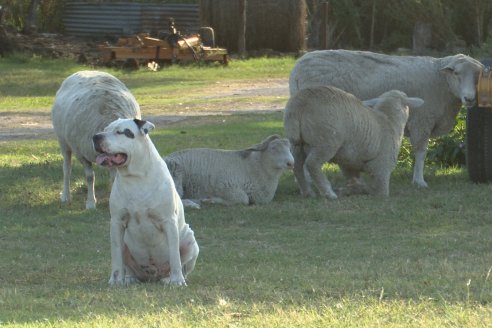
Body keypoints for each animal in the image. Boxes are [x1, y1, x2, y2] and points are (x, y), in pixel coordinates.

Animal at [51, 70, 140, 209]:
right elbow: (89, 177)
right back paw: (65, 196)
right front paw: (90, 203)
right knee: (67, 169)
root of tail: (84, 70)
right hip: (63, 142)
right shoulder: (81, 153)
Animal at [92, 118, 198, 284]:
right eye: (105, 129)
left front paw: (177, 281)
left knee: (182, 265)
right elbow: (116, 255)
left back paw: (170, 278)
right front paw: (115, 280)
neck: (136, 177)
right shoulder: (116, 222)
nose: (96, 137)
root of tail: (153, 276)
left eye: (120, 132)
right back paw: (129, 278)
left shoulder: (168, 221)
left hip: (190, 240)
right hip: (126, 243)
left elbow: (175, 255)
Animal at [163, 135, 294, 206]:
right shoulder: (225, 187)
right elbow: (243, 199)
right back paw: (194, 203)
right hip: (175, 175)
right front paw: (211, 200)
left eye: (289, 148)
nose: (291, 163)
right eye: (273, 148)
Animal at [282, 86, 424, 199]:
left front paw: (353, 188)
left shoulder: (349, 164)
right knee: (312, 164)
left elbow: (353, 179)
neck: (389, 120)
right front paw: (363, 189)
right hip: (325, 141)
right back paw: (328, 193)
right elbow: (380, 192)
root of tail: (299, 102)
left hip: (298, 143)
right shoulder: (382, 166)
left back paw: (307, 192)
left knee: (297, 165)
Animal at [288, 48, 484, 187]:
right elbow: (421, 152)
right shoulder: (422, 120)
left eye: (478, 76)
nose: (470, 98)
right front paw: (419, 181)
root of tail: (298, 67)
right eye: (457, 73)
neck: (441, 80)